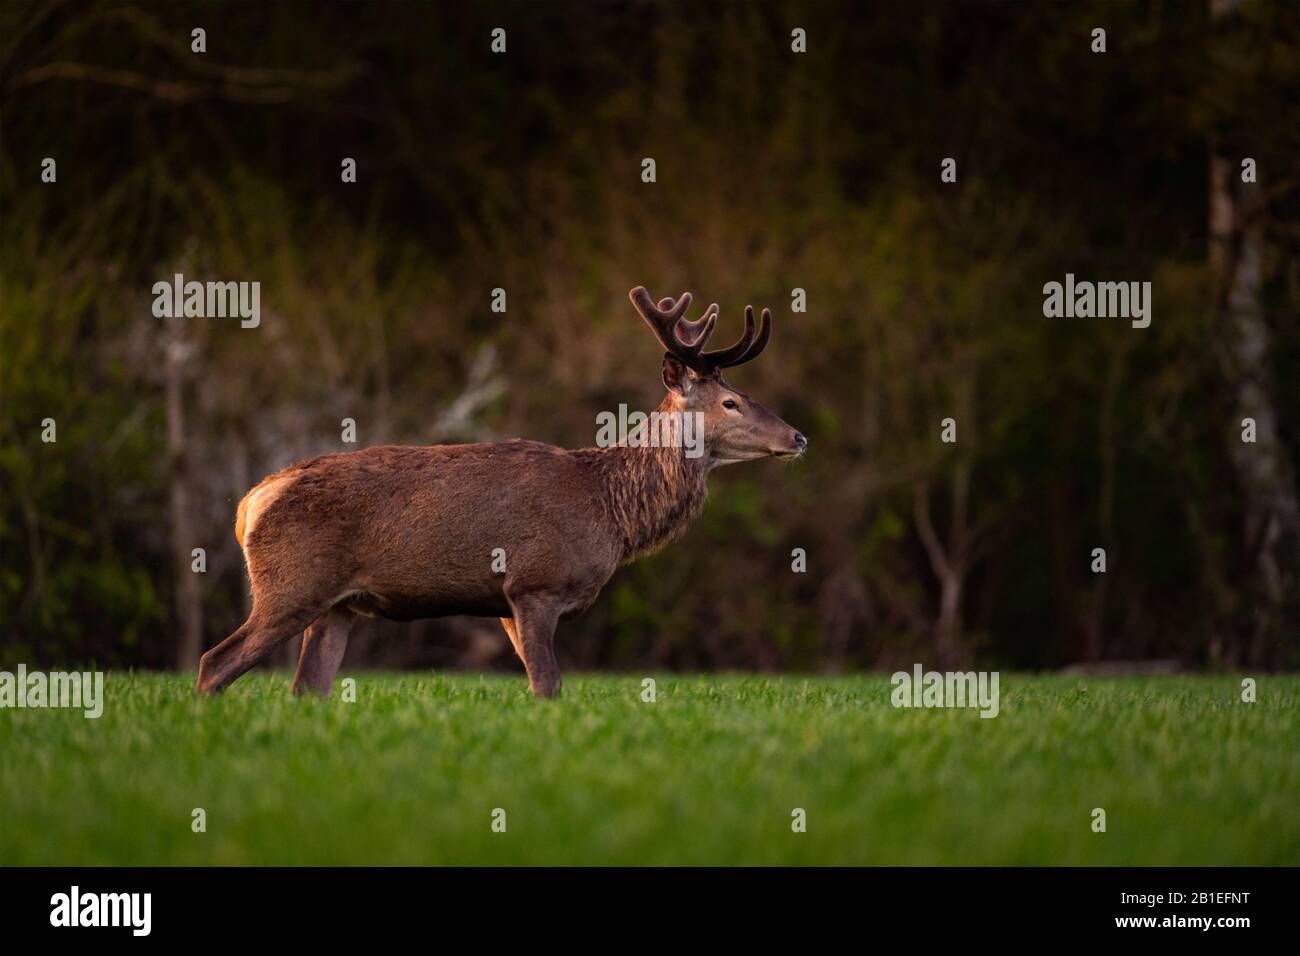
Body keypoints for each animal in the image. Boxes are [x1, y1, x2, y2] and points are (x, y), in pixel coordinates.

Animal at [196, 286, 806, 699]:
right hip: (290, 584)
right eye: (730, 402)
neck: (608, 509)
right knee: (213, 662)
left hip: (337, 605)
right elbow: (548, 686)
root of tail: (250, 502)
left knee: (306, 687)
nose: (798, 437)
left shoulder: (508, 603)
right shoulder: (534, 583)